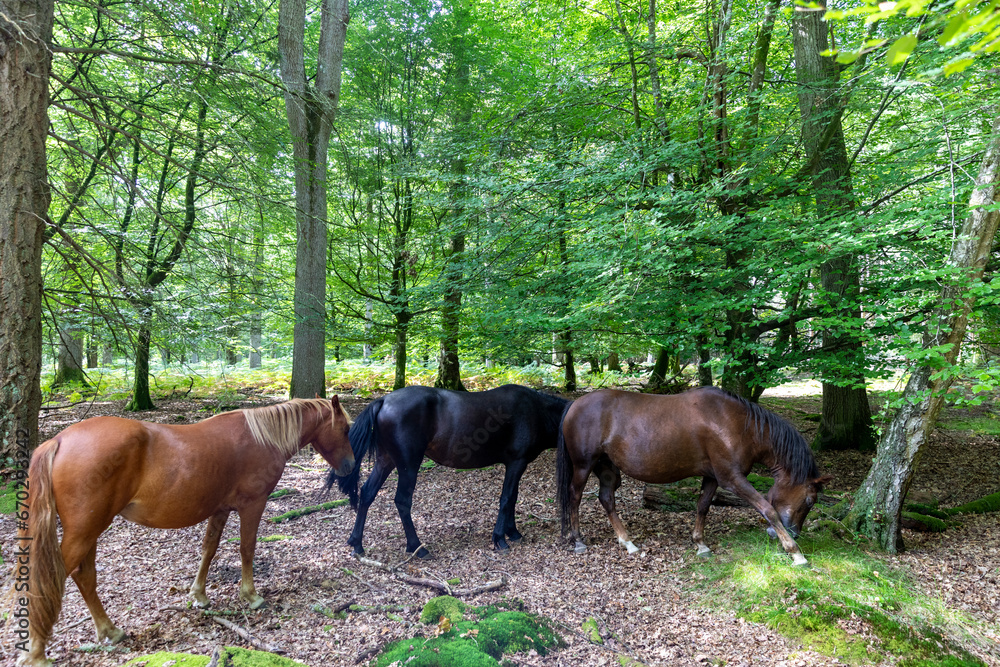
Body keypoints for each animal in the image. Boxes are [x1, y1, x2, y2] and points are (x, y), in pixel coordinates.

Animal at [18, 396, 354, 667]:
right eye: (346, 429)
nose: (351, 466)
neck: (263, 438)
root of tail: (59, 441)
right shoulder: (252, 505)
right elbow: (246, 547)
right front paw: (251, 595)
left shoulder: (220, 509)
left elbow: (209, 548)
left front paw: (199, 596)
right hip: (85, 530)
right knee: (52, 578)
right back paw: (36, 652)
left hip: (90, 530)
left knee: (84, 577)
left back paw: (109, 631)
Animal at [330, 384, 570, 557]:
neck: (537, 411)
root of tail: (383, 400)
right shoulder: (516, 462)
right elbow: (507, 498)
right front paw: (500, 538)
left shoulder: (516, 465)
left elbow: (513, 498)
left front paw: (513, 532)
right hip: (408, 465)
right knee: (402, 501)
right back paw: (417, 547)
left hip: (385, 461)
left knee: (367, 493)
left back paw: (357, 544)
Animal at [556, 387, 830, 567]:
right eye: (809, 502)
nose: (793, 534)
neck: (737, 425)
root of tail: (573, 405)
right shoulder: (732, 479)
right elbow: (767, 509)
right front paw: (795, 552)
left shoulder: (713, 477)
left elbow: (703, 506)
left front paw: (700, 544)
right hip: (583, 466)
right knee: (575, 496)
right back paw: (578, 540)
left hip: (607, 469)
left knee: (606, 499)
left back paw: (627, 542)